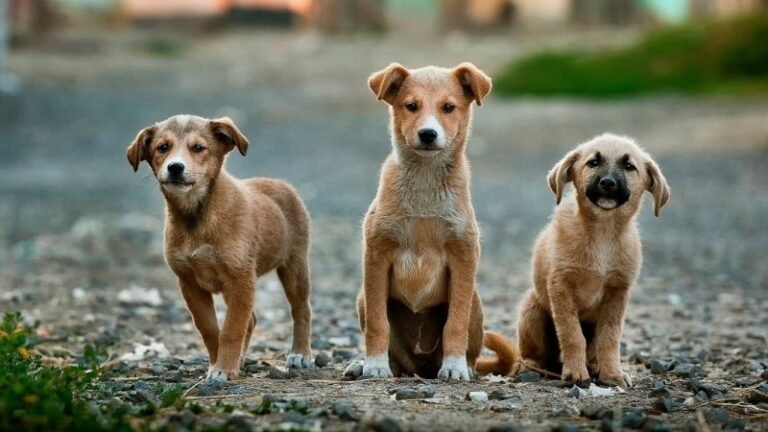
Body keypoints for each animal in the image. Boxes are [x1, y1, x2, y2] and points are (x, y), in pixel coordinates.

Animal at [127, 115, 314, 382]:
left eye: (198, 148)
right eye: (162, 148)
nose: (175, 167)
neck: (197, 217)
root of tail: (280, 183)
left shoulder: (241, 279)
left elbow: (231, 329)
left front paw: (224, 368)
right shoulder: (189, 283)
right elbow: (210, 328)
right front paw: (220, 363)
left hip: (294, 266)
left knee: (301, 309)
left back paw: (300, 353)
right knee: (252, 319)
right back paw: (243, 359)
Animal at [346, 62, 516, 380]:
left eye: (448, 107)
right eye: (411, 106)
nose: (427, 134)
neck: (425, 182)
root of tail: (421, 366)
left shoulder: (463, 256)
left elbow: (455, 323)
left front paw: (454, 366)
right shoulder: (376, 254)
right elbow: (377, 322)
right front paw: (374, 365)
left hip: (476, 302)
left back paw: (463, 366)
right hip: (363, 297)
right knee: (396, 356)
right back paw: (367, 365)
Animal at [510, 134, 672, 384]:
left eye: (629, 166)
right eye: (593, 162)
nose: (608, 183)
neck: (603, 233)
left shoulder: (618, 292)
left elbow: (610, 337)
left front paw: (613, 373)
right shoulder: (560, 286)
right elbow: (572, 334)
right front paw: (575, 372)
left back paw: (594, 366)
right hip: (532, 309)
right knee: (532, 353)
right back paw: (530, 366)